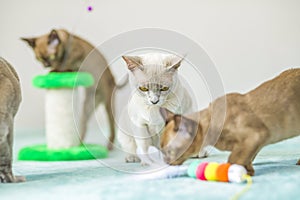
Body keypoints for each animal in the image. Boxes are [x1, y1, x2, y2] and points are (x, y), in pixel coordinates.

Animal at [159, 69, 300, 175]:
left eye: (169, 152)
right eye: (163, 153)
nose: (165, 161)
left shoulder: (254, 137)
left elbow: (233, 159)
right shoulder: (252, 145)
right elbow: (247, 158)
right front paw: (249, 171)